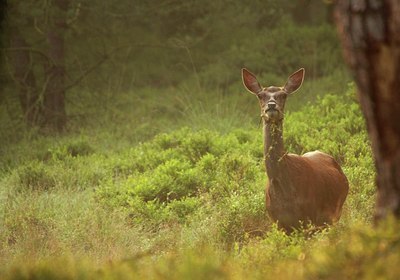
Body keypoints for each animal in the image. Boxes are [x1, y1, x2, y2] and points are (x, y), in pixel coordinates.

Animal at [241, 68, 350, 232]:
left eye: (283, 95)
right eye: (260, 95)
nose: (271, 105)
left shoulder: (309, 217)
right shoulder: (277, 222)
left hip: (335, 214)